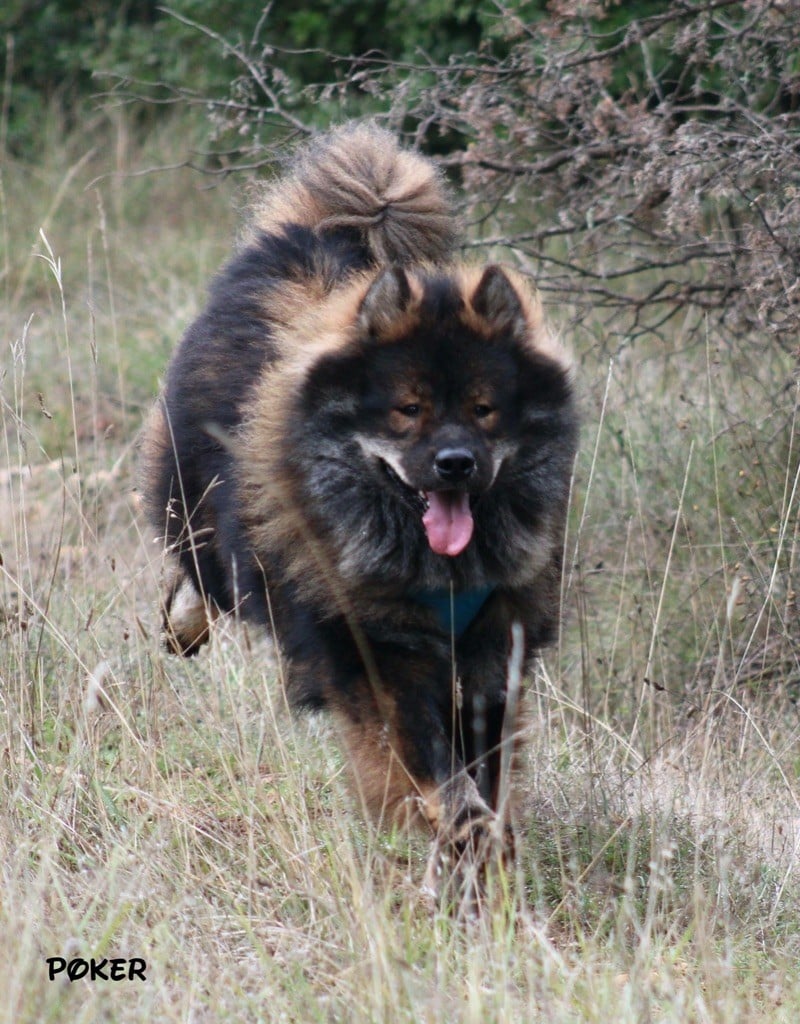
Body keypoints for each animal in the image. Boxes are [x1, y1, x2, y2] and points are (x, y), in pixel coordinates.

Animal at [143, 121, 577, 905]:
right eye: (408, 410)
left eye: (484, 409)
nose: (456, 463)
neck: (437, 573)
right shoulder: (378, 653)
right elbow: (438, 774)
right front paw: (458, 841)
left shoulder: (492, 654)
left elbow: (485, 771)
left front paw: (481, 862)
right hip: (211, 527)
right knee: (200, 575)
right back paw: (183, 626)